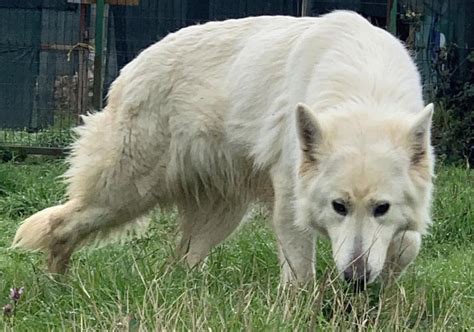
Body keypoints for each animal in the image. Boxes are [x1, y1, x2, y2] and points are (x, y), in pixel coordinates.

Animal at [12, 11, 434, 288]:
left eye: (382, 208)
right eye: (338, 207)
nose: (356, 279)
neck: (364, 95)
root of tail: (132, 65)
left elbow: (407, 245)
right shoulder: (290, 205)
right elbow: (300, 274)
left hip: (221, 215)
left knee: (179, 262)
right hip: (124, 193)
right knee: (60, 225)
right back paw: (57, 285)